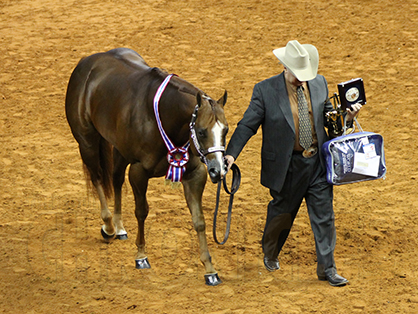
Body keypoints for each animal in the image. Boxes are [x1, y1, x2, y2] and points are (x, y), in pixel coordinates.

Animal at [65, 47, 229, 286]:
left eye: (225, 130)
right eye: (201, 132)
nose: (218, 170)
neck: (164, 117)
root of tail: (88, 62)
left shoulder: (194, 174)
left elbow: (199, 220)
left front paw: (209, 269)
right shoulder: (139, 171)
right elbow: (141, 211)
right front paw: (141, 256)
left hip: (119, 150)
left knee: (115, 179)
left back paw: (119, 227)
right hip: (87, 142)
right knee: (97, 178)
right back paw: (109, 227)